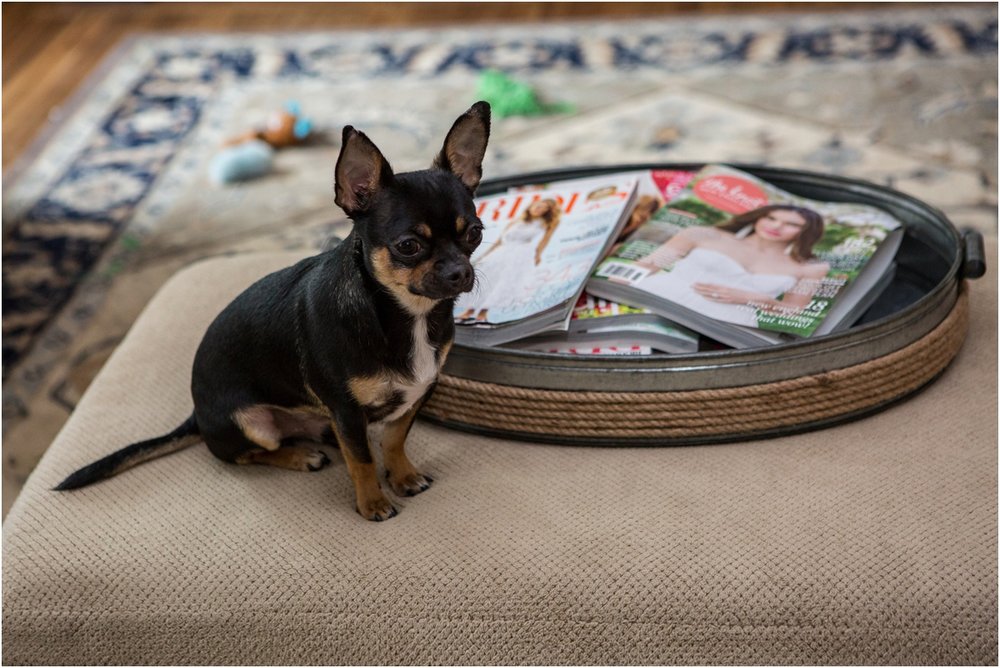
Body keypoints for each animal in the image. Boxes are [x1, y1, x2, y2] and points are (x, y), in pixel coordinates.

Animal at [55, 100, 492, 520]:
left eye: (475, 232)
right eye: (408, 246)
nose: (460, 272)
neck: (405, 314)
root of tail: (197, 415)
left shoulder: (416, 393)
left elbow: (395, 440)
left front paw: (403, 477)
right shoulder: (347, 410)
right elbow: (363, 461)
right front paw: (372, 505)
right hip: (253, 424)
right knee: (245, 454)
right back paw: (301, 456)